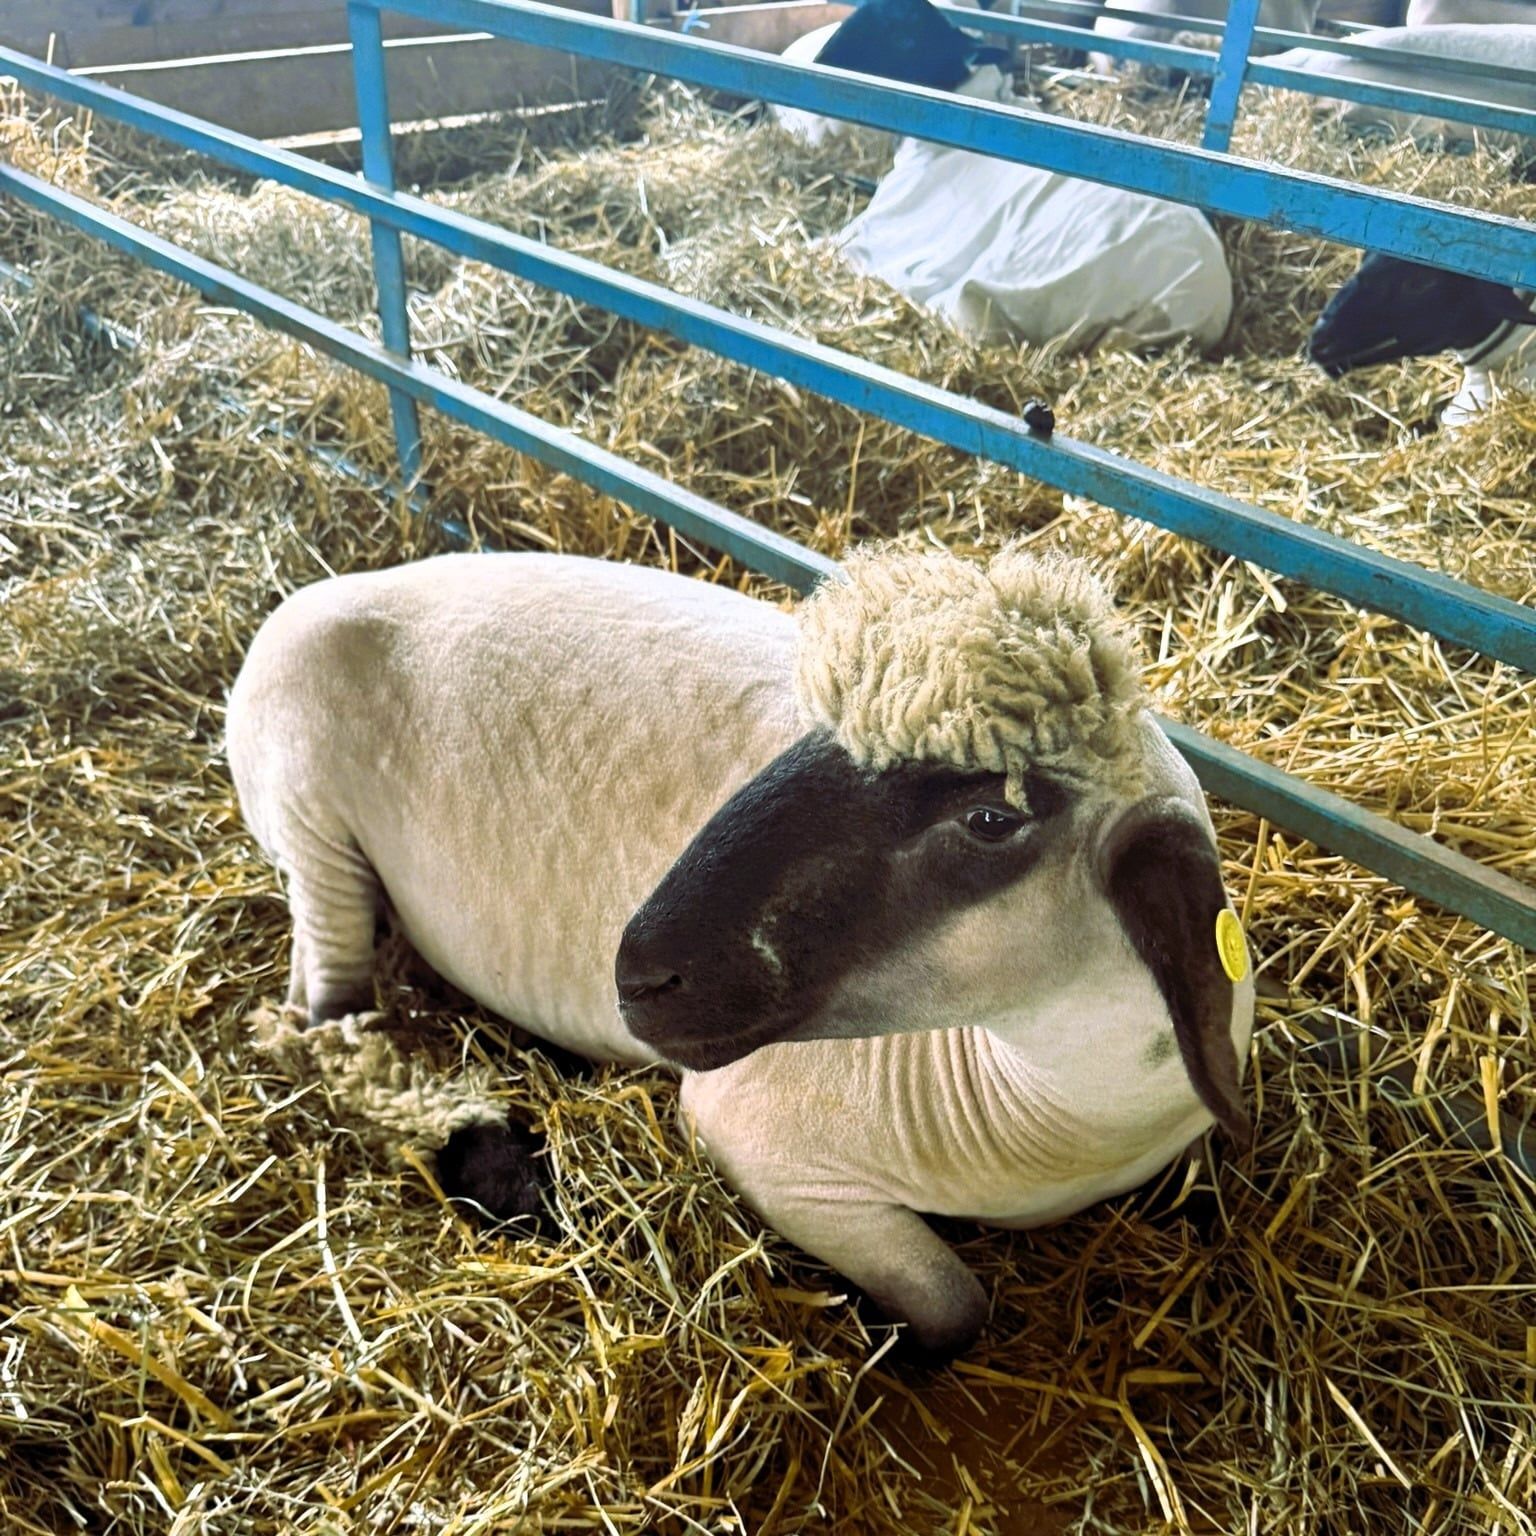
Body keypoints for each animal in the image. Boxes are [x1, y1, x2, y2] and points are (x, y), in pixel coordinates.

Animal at [227, 541, 1256, 1359]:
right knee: (325, 1016)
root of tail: (322, 589)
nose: (638, 974)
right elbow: (957, 1306)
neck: (1056, 1105)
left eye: (992, 818)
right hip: (309, 820)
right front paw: (871, 1326)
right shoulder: (762, 1145)